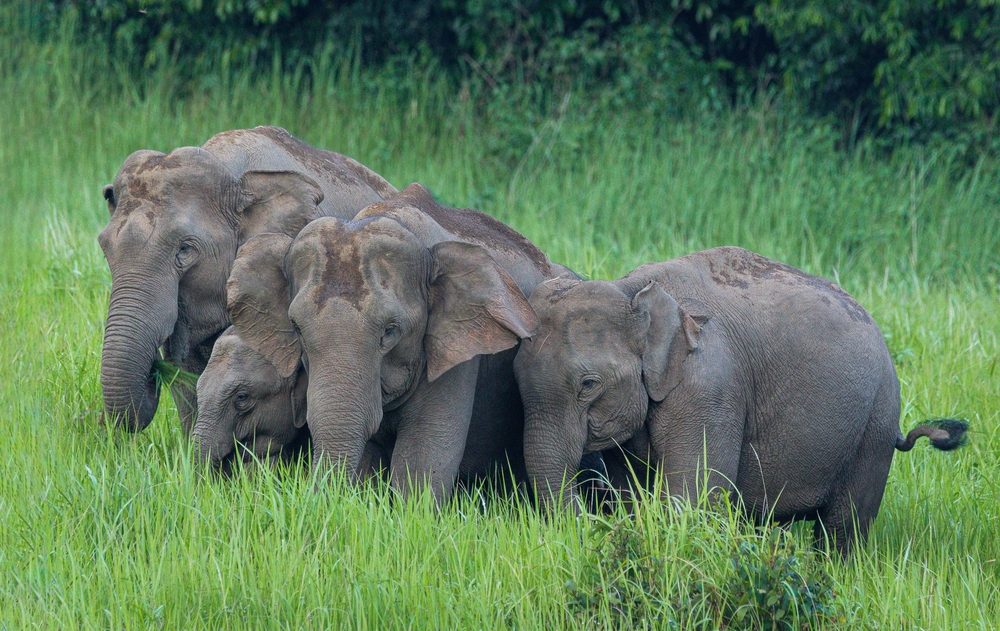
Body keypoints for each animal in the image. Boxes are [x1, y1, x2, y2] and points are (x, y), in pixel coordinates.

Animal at [512, 246, 964, 552]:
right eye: (515, 381)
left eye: (588, 385)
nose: (586, 521)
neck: (630, 289)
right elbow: (633, 491)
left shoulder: (709, 388)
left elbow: (693, 497)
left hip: (875, 422)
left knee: (843, 527)